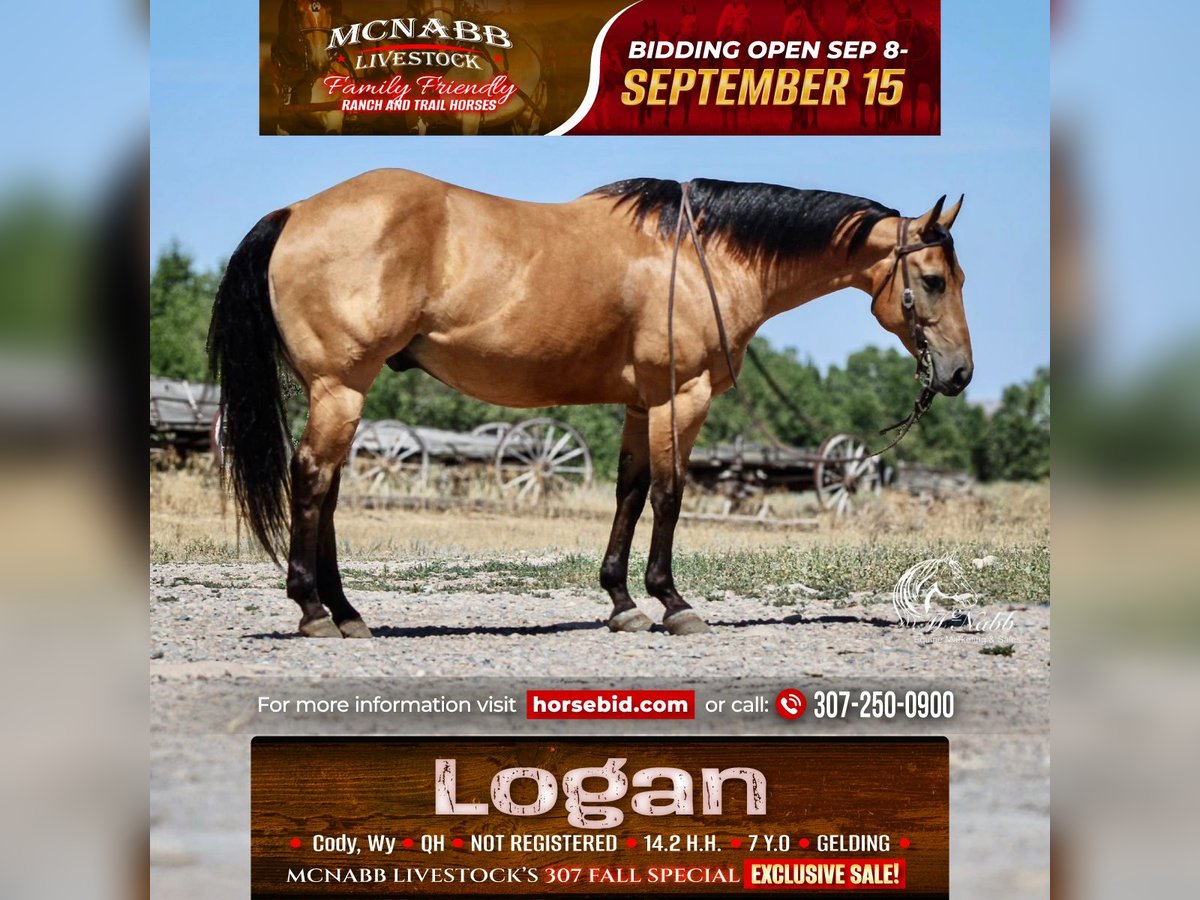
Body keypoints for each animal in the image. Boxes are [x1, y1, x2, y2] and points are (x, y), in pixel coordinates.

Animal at [208, 172, 971, 639]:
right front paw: (673, 603)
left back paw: (345, 611)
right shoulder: (680, 398)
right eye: (933, 279)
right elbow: (669, 494)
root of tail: (295, 213)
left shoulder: (640, 404)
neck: (701, 255)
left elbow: (629, 491)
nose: (961, 373)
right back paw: (314, 610)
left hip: (342, 393)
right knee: (312, 478)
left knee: (328, 488)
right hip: (341, 387)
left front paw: (623, 602)